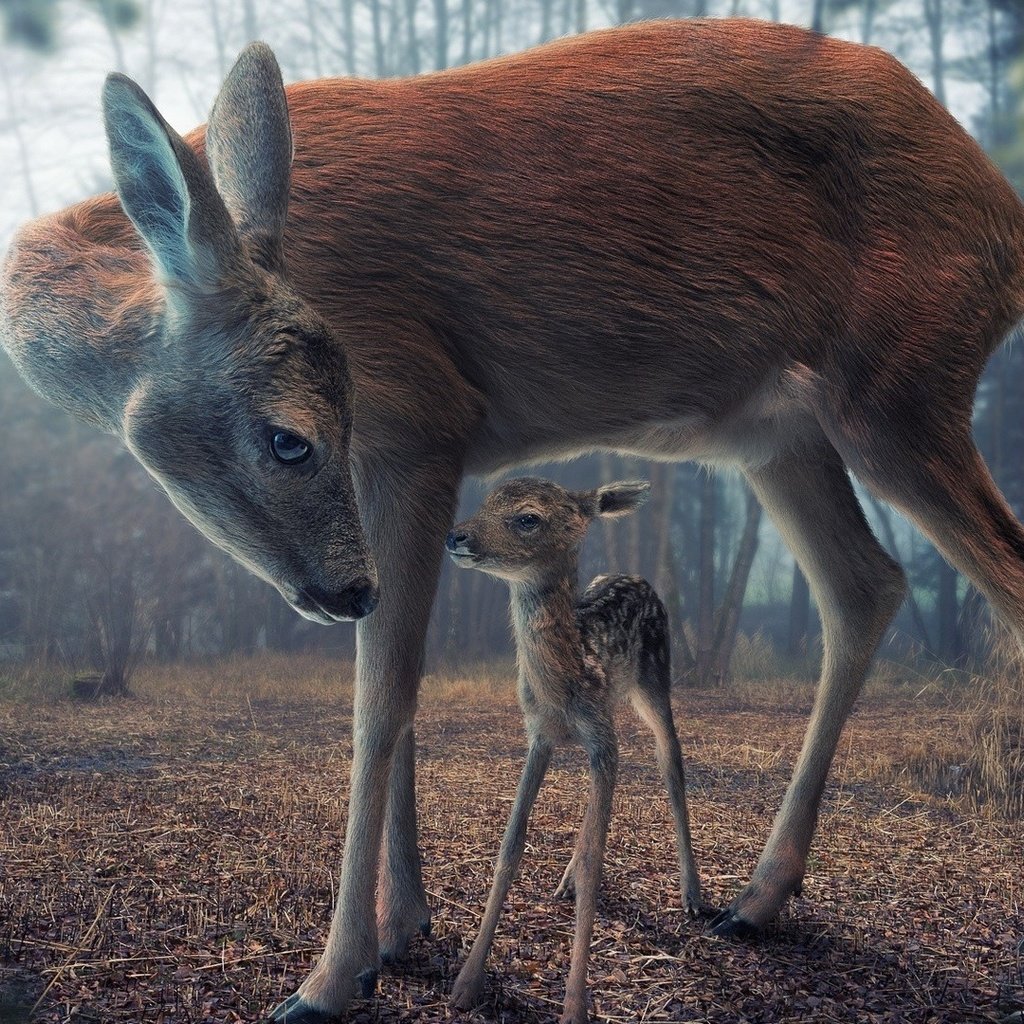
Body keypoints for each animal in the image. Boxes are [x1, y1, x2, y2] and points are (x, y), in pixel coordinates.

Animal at [448, 477, 704, 1024]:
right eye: (486, 499)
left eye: (527, 517)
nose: (456, 535)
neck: (563, 681)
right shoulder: (540, 735)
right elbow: (510, 844)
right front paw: (466, 983)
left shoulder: (599, 734)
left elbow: (594, 858)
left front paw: (574, 1007)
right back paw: (565, 879)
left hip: (655, 680)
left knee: (670, 760)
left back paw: (693, 893)